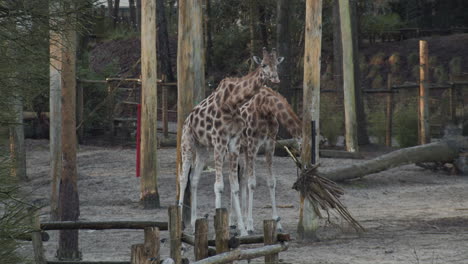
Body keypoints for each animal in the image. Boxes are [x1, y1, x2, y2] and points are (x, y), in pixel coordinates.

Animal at [177, 47, 284, 235]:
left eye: (276, 64)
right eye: (263, 64)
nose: (275, 78)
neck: (233, 101)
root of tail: (186, 120)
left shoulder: (236, 143)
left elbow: (237, 185)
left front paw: (243, 228)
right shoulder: (224, 142)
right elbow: (221, 185)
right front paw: (229, 226)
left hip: (203, 149)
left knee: (194, 178)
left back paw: (194, 223)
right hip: (188, 144)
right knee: (183, 178)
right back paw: (180, 223)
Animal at [234, 86, 304, 233]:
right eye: (303, 147)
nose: (303, 165)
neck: (266, 108)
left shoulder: (269, 146)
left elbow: (271, 182)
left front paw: (278, 222)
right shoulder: (253, 146)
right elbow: (252, 183)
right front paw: (250, 225)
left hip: (243, 150)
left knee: (241, 176)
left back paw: (240, 221)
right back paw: (236, 223)